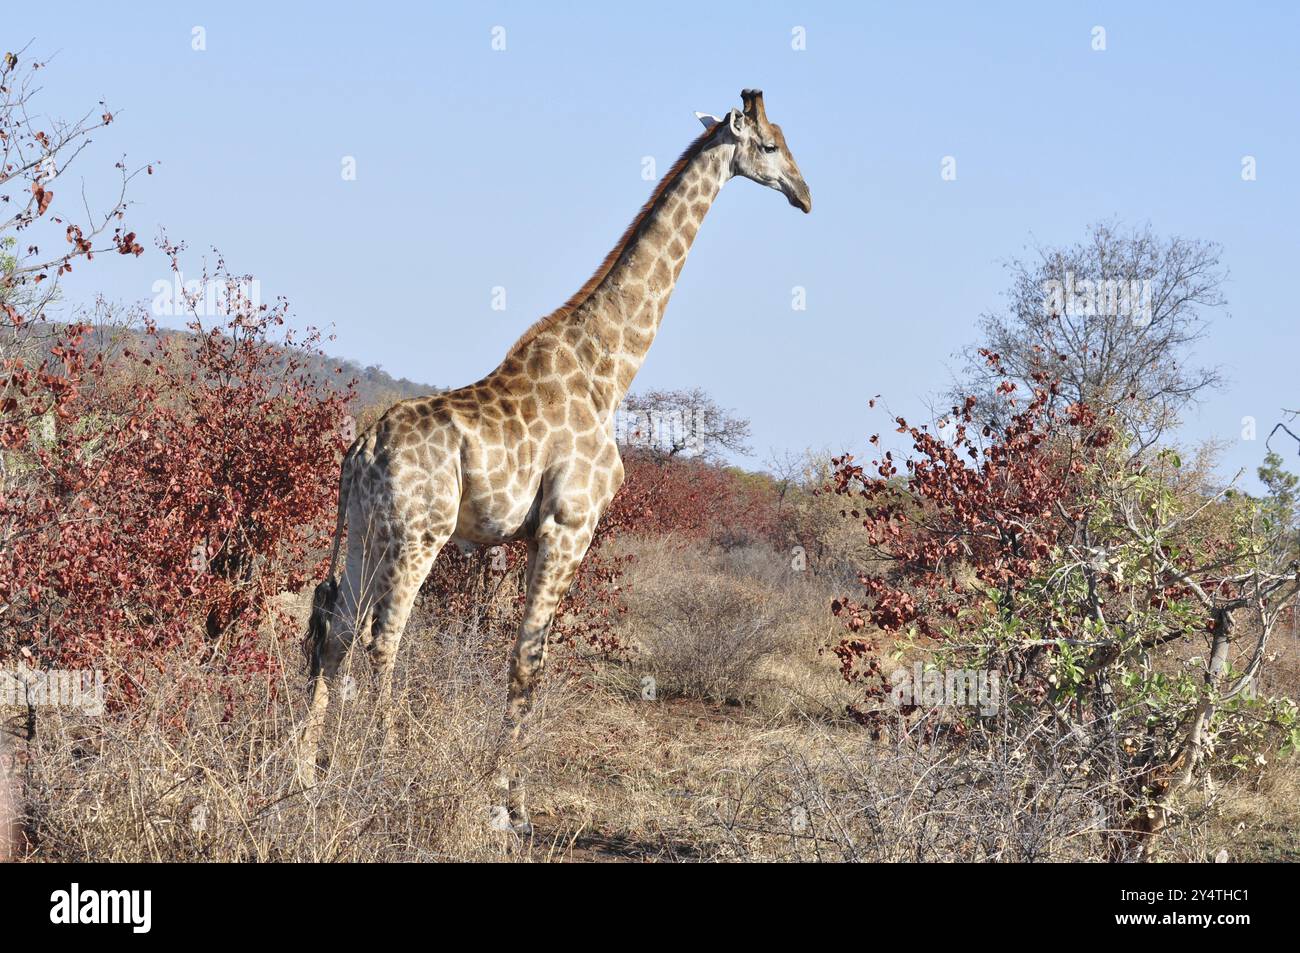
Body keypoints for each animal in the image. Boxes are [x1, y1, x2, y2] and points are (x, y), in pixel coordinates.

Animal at [301, 91, 811, 832]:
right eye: (771, 146)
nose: (805, 195)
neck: (609, 370)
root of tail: (360, 449)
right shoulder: (569, 524)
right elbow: (529, 656)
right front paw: (506, 805)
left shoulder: (527, 536)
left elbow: (522, 652)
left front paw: (504, 795)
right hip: (418, 534)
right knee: (383, 637)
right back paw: (381, 770)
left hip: (367, 530)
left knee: (338, 628)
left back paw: (308, 773)